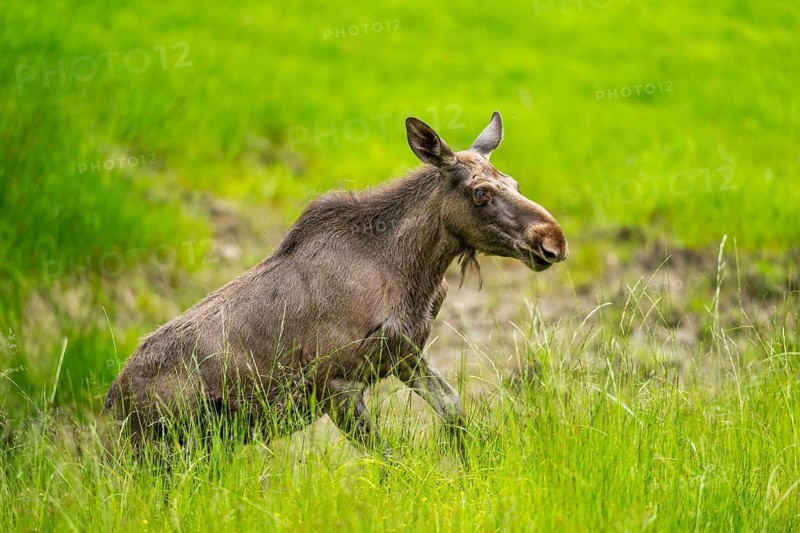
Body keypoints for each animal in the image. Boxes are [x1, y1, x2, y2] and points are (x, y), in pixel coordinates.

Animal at [104, 111, 568, 464]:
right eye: (480, 192)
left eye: (515, 183)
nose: (553, 241)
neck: (414, 273)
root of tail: (111, 402)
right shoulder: (336, 386)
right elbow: (390, 460)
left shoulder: (405, 355)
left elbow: (454, 411)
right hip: (161, 449)